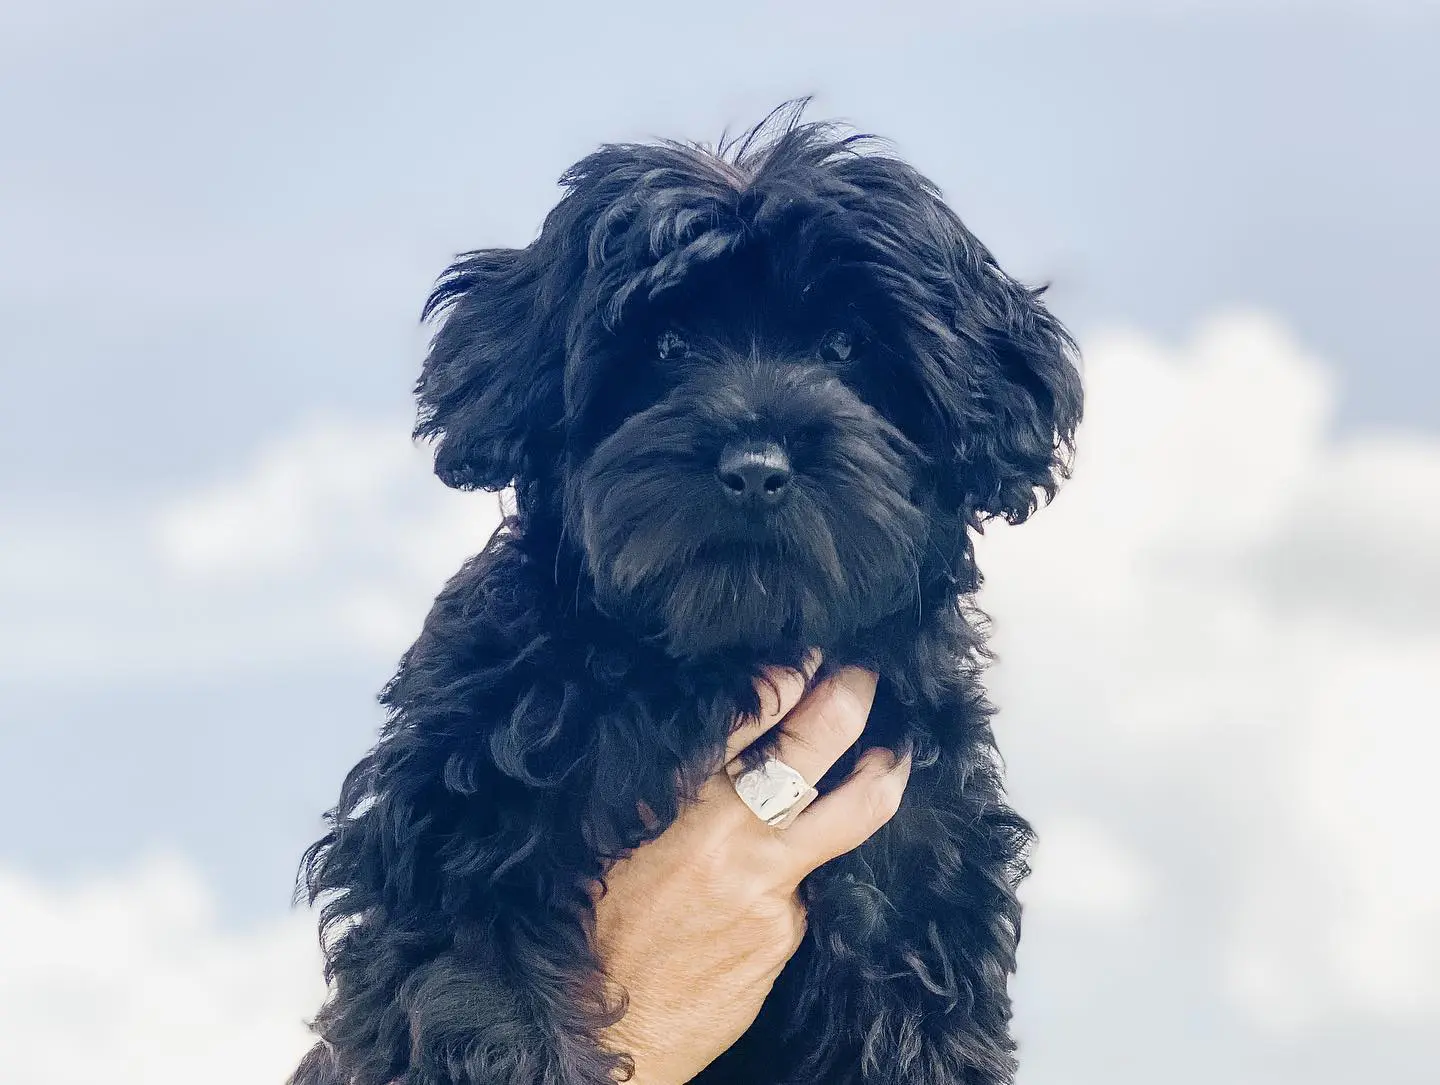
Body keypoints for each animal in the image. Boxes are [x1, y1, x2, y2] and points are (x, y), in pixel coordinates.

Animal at [292, 103, 1082, 1083]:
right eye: (665, 346)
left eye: (847, 345)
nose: (755, 465)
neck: (709, 662)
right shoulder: (450, 834)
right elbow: (483, 1011)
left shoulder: (916, 887)